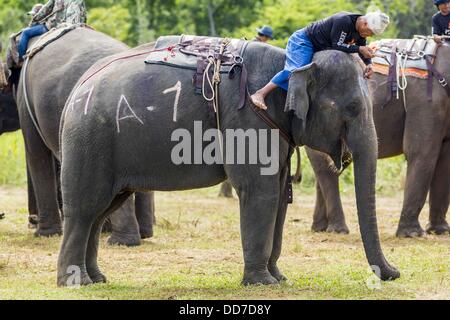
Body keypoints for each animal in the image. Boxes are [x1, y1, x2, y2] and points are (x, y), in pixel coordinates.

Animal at [2, 28, 156, 245]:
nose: (32, 220)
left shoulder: (27, 102)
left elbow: (36, 152)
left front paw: (45, 234)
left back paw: (121, 241)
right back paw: (140, 234)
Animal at [57, 38, 400, 286]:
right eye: (353, 107)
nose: (394, 273)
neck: (291, 64)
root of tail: (76, 90)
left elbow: (279, 197)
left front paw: (279, 278)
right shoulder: (248, 118)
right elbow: (260, 192)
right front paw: (263, 283)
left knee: (101, 211)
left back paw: (97, 280)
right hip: (90, 141)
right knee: (85, 208)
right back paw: (76, 283)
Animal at [306, 42, 450, 238]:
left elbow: (445, 160)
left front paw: (440, 231)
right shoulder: (426, 102)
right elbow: (421, 152)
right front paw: (412, 234)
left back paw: (320, 228)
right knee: (325, 169)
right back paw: (338, 230)